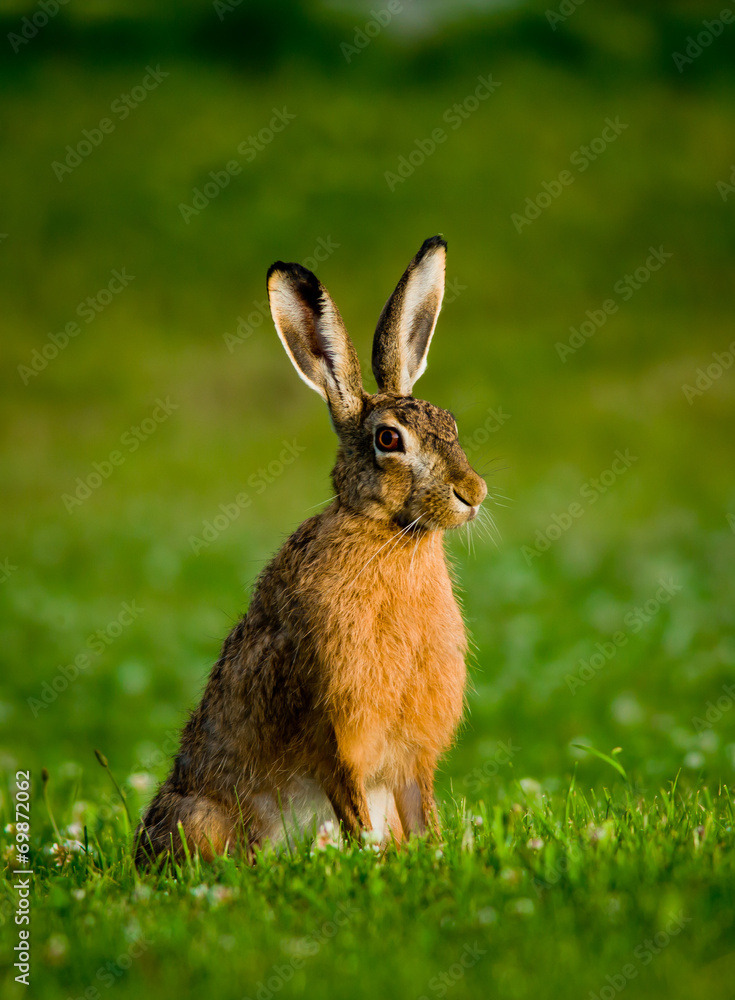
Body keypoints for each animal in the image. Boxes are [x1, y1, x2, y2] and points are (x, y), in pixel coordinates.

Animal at [134, 235, 487, 866]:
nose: (473, 493)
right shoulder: (335, 736)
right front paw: (373, 865)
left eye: (449, 423)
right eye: (389, 439)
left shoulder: (410, 757)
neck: (389, 536)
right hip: (200, 817)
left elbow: (421, 813)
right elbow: (353, 810)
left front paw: (433, 857)